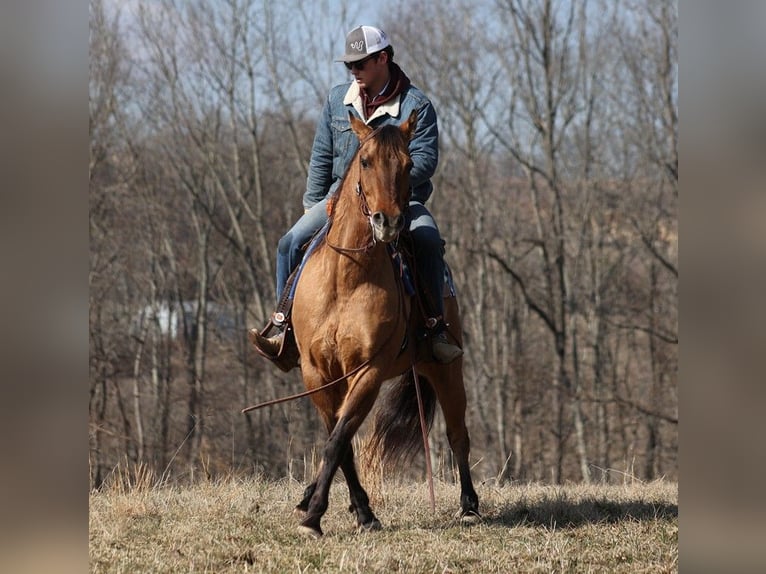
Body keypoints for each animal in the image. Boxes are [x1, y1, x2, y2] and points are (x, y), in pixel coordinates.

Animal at [290, 111, 480, 540]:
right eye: (365, 161)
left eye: (409, 165)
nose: (388, 222)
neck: (346, 275)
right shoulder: (317, 373)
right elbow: (339, 440)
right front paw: (347, 509)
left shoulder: (368, 371)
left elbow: (339, 439)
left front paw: (321, 516)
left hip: (446, 370)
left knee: (458, 435)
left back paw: (469, 507)